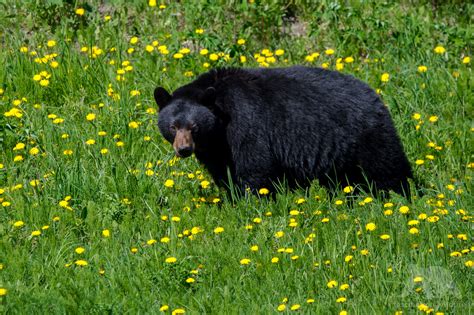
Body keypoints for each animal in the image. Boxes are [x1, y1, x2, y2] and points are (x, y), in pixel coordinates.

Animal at [154, 66, 412, 198]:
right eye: (173, 126)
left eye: (194, 127)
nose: (184, 149)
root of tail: (375, 96)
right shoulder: (217, 147)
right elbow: (223, 171)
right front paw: (232, 197)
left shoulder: (245, 122)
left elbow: (254, 165)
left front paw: (252, 201)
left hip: (367, 134)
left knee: (388, 167)